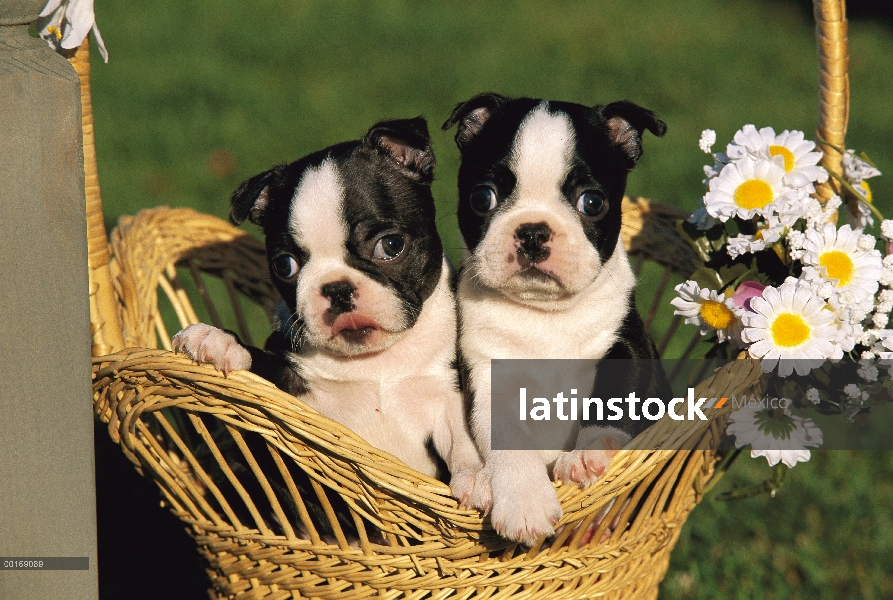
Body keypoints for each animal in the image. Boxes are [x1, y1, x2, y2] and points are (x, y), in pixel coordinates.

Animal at [172, 117, 480, 502]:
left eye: (391, 245)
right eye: (284, 265)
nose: (337, 289)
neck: (375, 366)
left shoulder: (444, 390)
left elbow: (463, 433)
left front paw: (481, 481)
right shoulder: (297, 396)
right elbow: (264, 369)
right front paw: (218, 340)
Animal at [442, 92, 672, 544]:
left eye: (592, 202)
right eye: (482, 198)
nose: (533, 231)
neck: (545, 315)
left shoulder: (627, 343)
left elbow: (617, 396)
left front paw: (587, 452)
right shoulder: (488, 371)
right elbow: (506, 431)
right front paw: (525, 503)